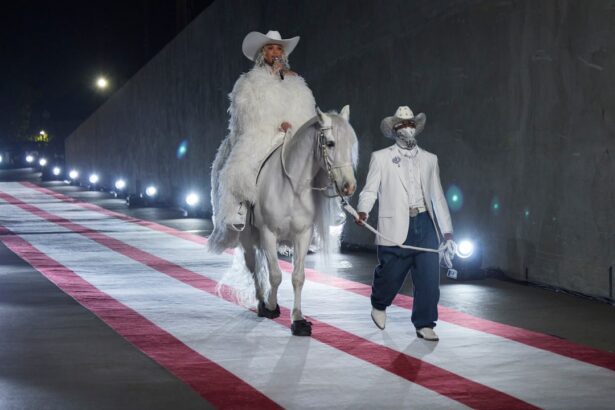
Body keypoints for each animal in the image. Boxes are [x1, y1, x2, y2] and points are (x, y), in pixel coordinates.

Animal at [238, 106, 358, 336]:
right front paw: (271, 307)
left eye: (351, 143)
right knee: (254, 266)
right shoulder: (268, 233)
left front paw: (298, 320)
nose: (349, 187)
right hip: (250, 237)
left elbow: (298, 277)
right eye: (331, 143)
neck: (292, 188)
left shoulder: (302, 235)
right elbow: (275, 275)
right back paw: (261, 301)